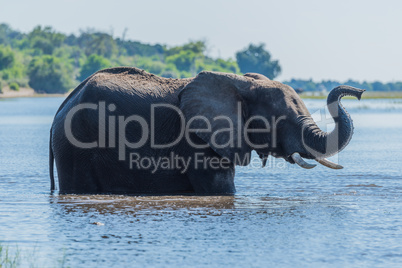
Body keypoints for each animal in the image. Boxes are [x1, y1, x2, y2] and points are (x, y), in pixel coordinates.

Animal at [49, 67, 364, 195]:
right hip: (75, 147)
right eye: (281, 121)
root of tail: (60, 109)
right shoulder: (195, 139)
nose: (359, 91)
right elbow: (221, 188)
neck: (242, 84)